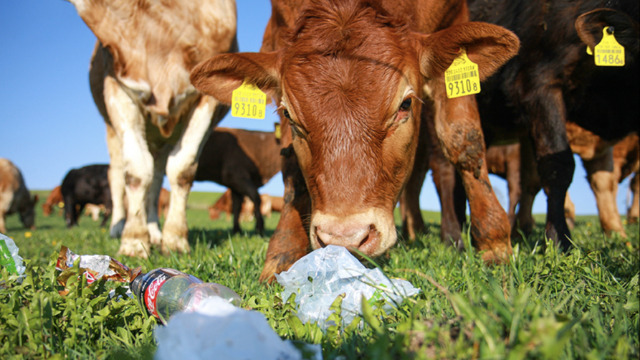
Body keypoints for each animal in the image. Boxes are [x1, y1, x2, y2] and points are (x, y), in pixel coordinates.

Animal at [66, 0, 239, 258]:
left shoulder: (208, 99)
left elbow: (182, 170)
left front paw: (175, 238)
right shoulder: (118, 87)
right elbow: (136, 171)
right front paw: (134, 240)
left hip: (161, 140)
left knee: (156, 180)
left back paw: (155, 231)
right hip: (112, 130)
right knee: (117, 174)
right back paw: (118, 227)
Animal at [190, 0, 520, 282]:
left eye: (405, 105)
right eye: (288, 115)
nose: (344, 237)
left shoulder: (455, 16)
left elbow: (463, 138)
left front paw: (495, 243)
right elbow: (291, 168)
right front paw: (282, 254)